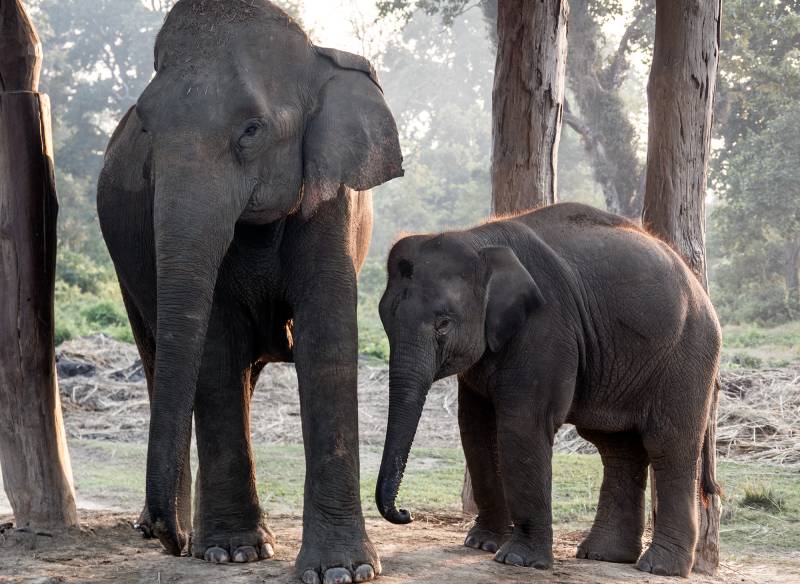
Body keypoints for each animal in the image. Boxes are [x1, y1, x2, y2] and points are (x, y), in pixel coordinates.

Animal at [97, 2, 404, 580]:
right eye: (146, 130)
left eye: (252, 130)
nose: (172, 541)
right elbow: (215, 346)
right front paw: (231, 552)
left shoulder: (333, 200)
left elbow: (327, 339)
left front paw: (342, 571)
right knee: (162, 360)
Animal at [378, 203, 720, 576]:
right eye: (385, 320)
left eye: (443, 324)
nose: (405, 513)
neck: (476, 239)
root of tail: (703, 292)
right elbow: (476, 428)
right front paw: (481, 544)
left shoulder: (547, 326)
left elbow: (522, 425)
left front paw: (517, 559)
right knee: (617, 447)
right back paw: (603, 555)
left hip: (687, 356)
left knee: (668, 444)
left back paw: (658, 568)